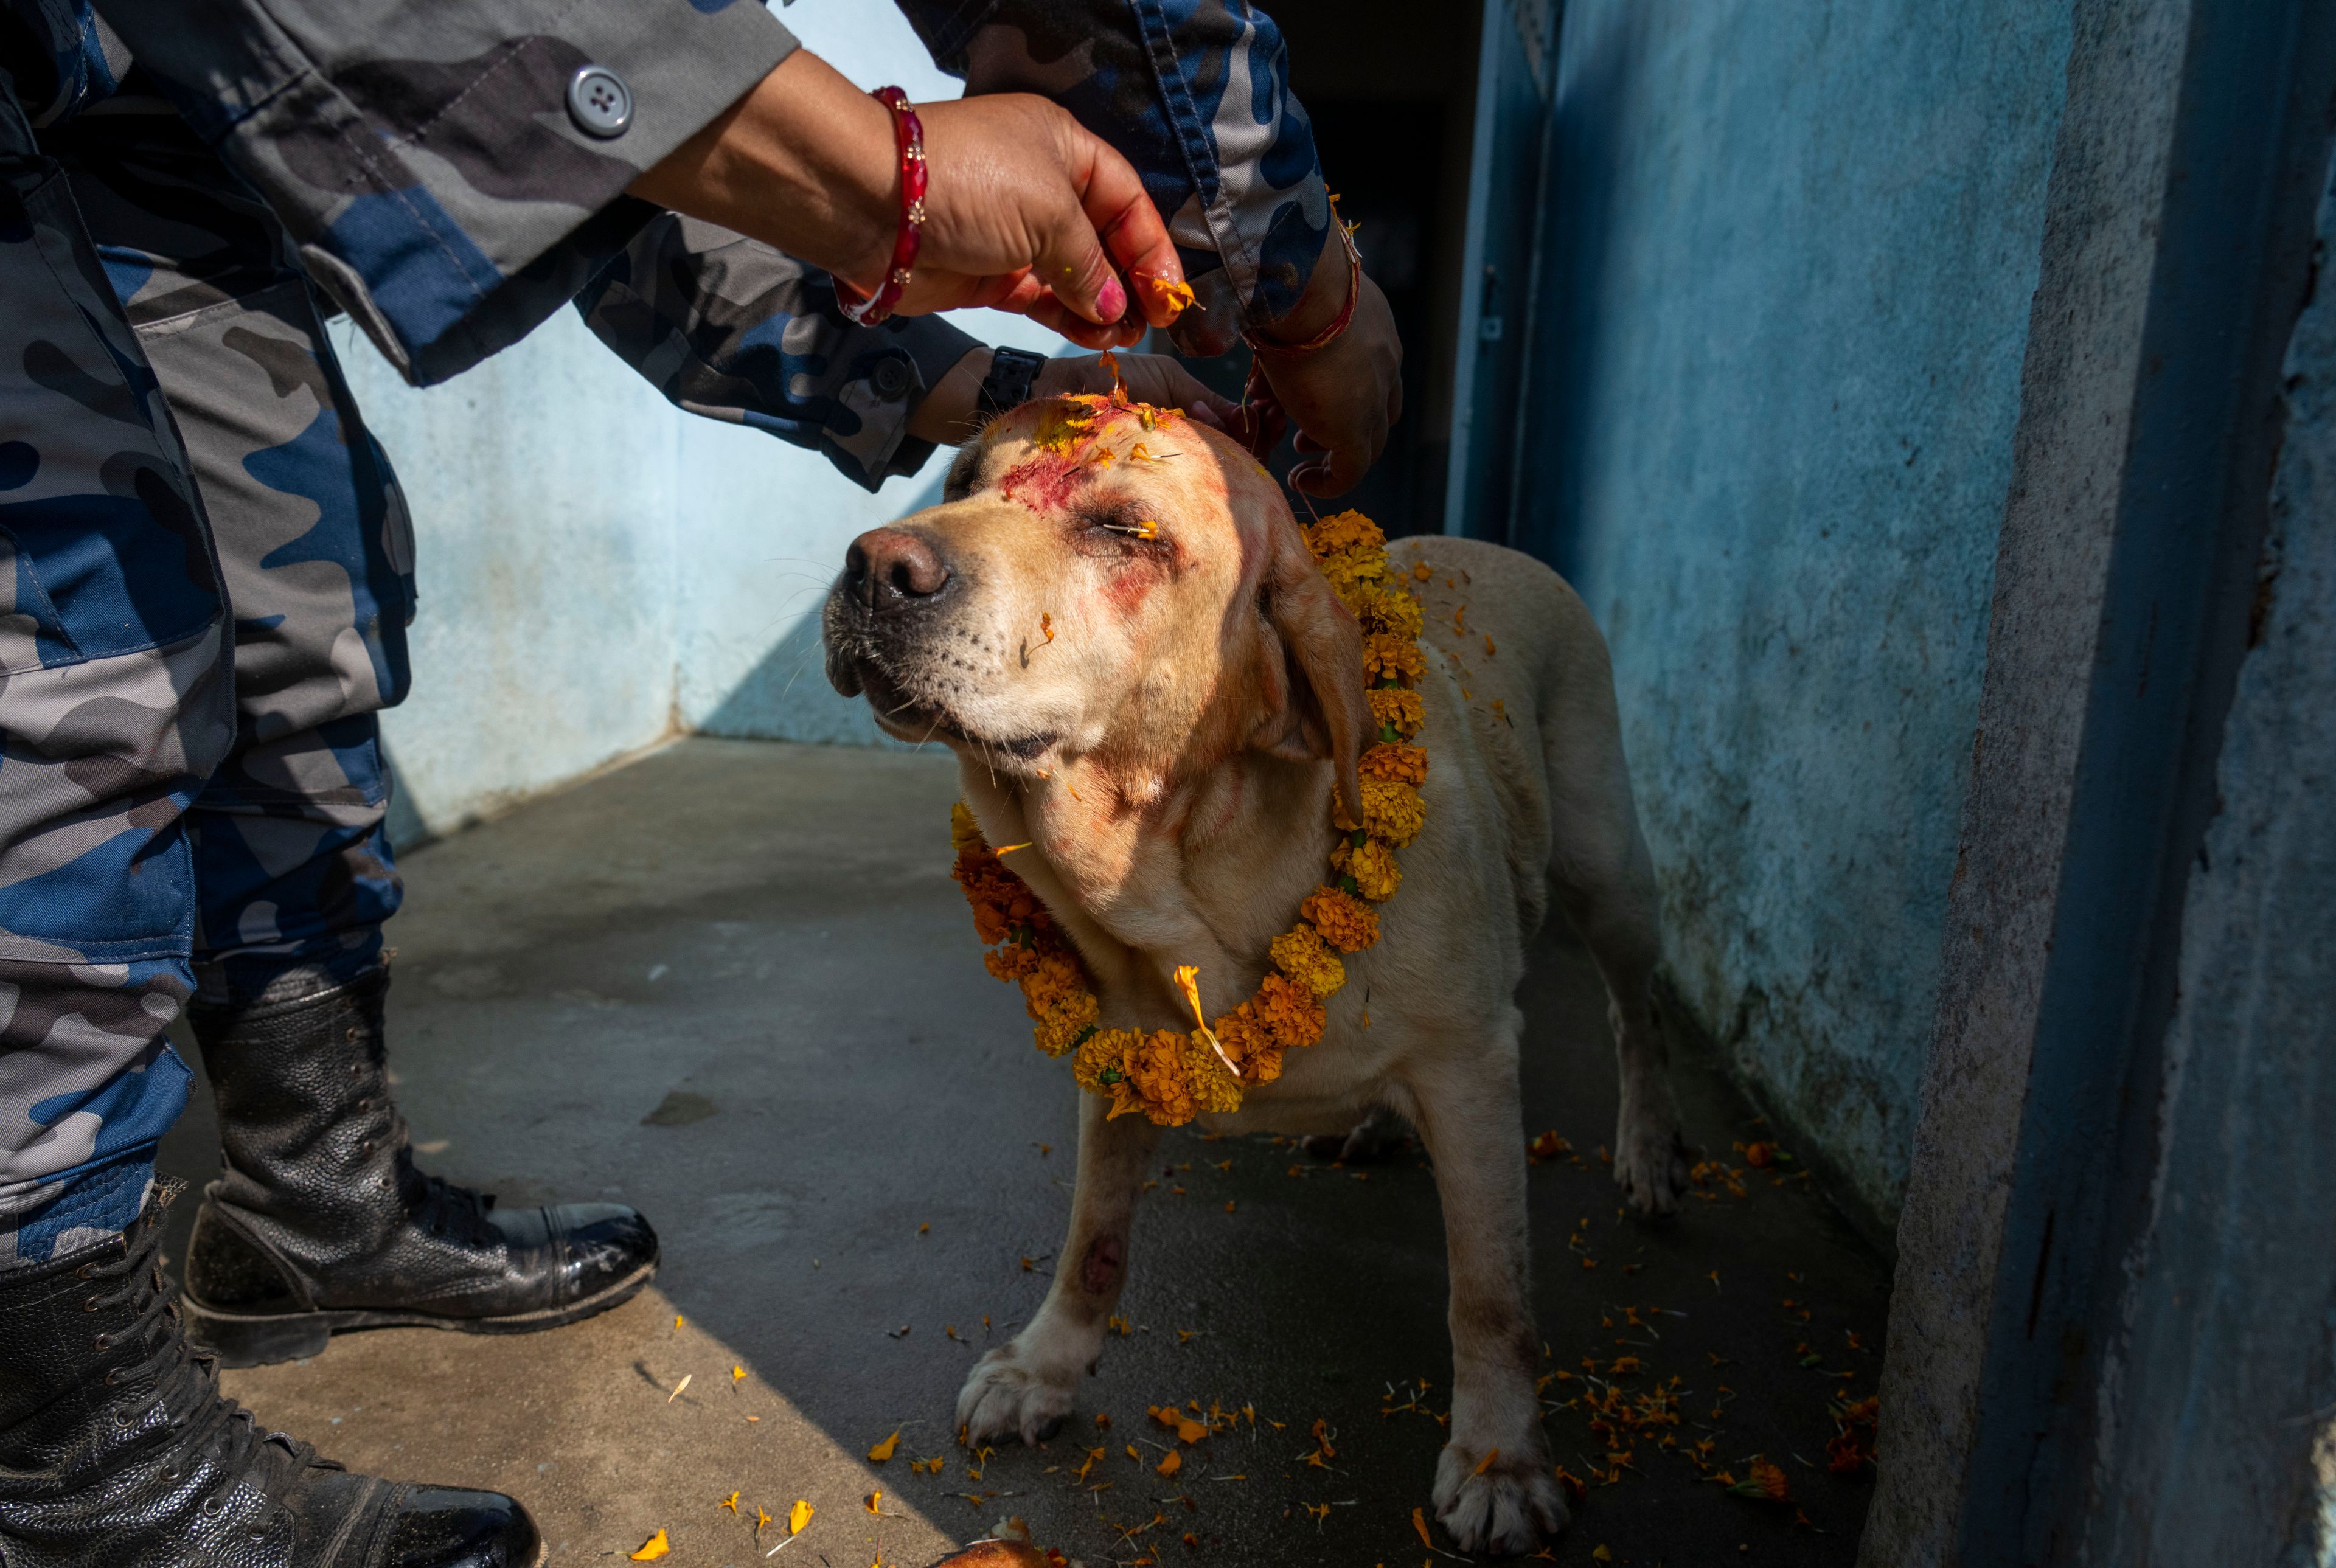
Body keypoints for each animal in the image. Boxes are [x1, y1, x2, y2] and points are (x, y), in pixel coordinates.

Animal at [822, 395, 1681, 1561]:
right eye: (960, 476)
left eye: (1126, 530)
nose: (877, 565)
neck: (1181, 882)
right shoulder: (1113, 1063)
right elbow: (1092, 1238)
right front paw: (1048, 1366)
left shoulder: (1469, 1068)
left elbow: (1490, 1296)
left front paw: (1502, 1458)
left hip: (1608, 872)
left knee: (1639, 1013)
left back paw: (1647, 1151)